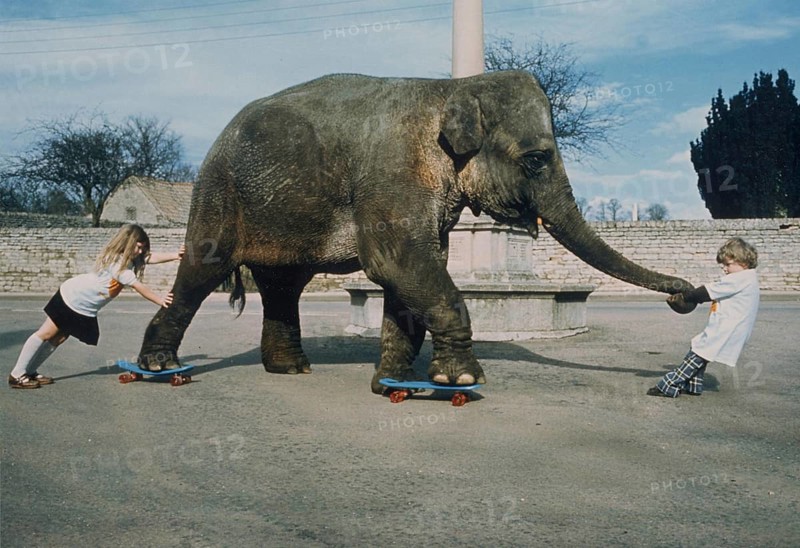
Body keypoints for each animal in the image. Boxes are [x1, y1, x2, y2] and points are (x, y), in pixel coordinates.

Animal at [137, 70, 694, 392]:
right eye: (536, 159)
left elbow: (412, 273)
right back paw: (160, 368)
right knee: (202, 270)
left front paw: (395, 384)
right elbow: (398, 263)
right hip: (218, 193)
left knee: (283, 284)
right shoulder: (394, 175)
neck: (451, 87)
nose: (687, 296)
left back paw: (291, 369)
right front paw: (461, 380)